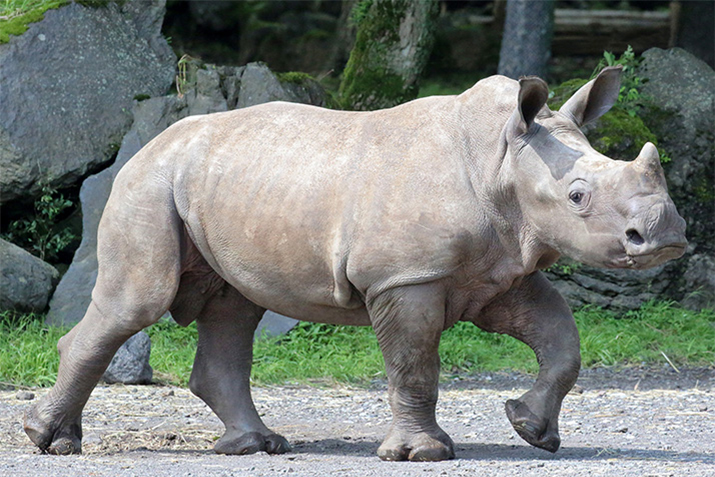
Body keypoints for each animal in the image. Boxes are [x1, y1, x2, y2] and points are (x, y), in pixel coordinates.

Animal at [26, 65, 688, 460]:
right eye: (578, 197)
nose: (665, 238)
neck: (502, 157)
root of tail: (148, 144)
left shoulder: (503, 270)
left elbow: (561, 341)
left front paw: (532, 430)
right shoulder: (407, 276)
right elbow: (415, 365)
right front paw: (424, 454)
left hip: (216, 183)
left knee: (234, 306)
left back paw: (257, 446)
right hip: (148, 185)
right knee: (139, 301)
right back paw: (49, 441)